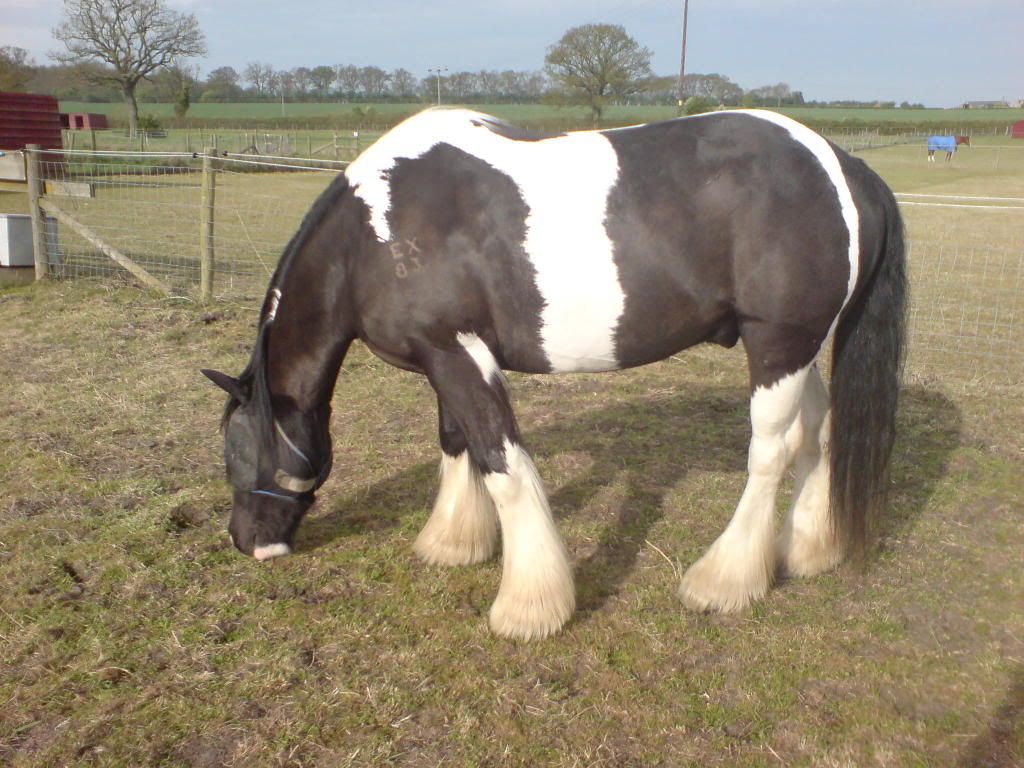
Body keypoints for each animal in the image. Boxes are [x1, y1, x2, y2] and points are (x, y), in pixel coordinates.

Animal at [201, 107, 905, 643]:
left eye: (235, 455)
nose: (245, 542)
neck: (374, 234)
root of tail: (843, 165)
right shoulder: (443, 357)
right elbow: (458, 444)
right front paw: (454, 542)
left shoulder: (457, 352)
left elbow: (503, 464)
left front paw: (529, 606)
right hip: (800, 349)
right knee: (820, 432)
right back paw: (807, 549)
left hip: (777, 343)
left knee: (772, 452)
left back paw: (724, 580)